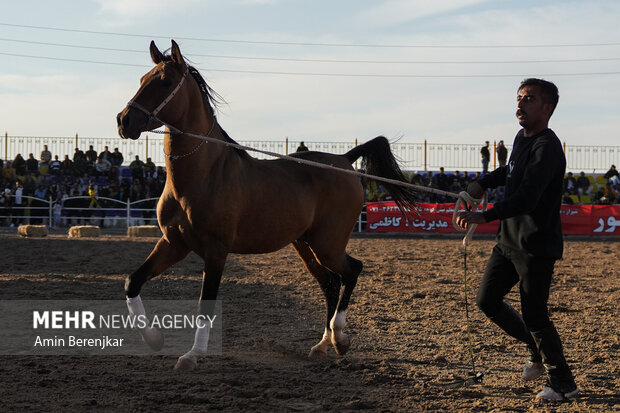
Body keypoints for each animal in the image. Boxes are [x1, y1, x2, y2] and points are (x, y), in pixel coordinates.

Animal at [115, 41, 416, 370]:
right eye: (142, 79)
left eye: (165, 82)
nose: (123, 121)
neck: (203, 175)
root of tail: (345, 160)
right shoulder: (174, 243)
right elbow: (132, 281)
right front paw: (154, 339)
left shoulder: (216, 250)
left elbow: (205, 305)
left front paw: (192, 355)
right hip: (305, 244)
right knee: (330, 283)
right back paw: (322, 345)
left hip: (328, 244)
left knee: (351, 272)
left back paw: (340, 339)